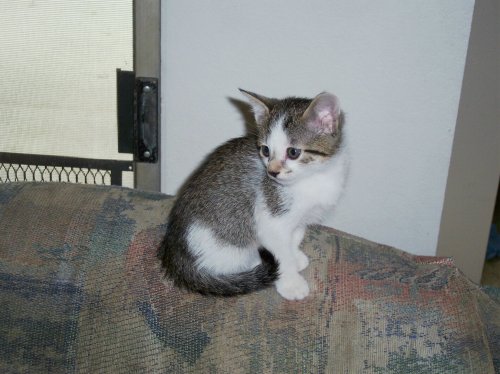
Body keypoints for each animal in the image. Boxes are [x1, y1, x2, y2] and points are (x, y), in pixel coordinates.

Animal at [160, 90, 348, 300]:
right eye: (265, 150)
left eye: (293, 152)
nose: (272, 172)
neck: (313, 179)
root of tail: (176, 254)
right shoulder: (270, 220)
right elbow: (280, 253)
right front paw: (291, 282)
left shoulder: (303, 217)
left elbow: (296, 236)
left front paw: (295, 256)